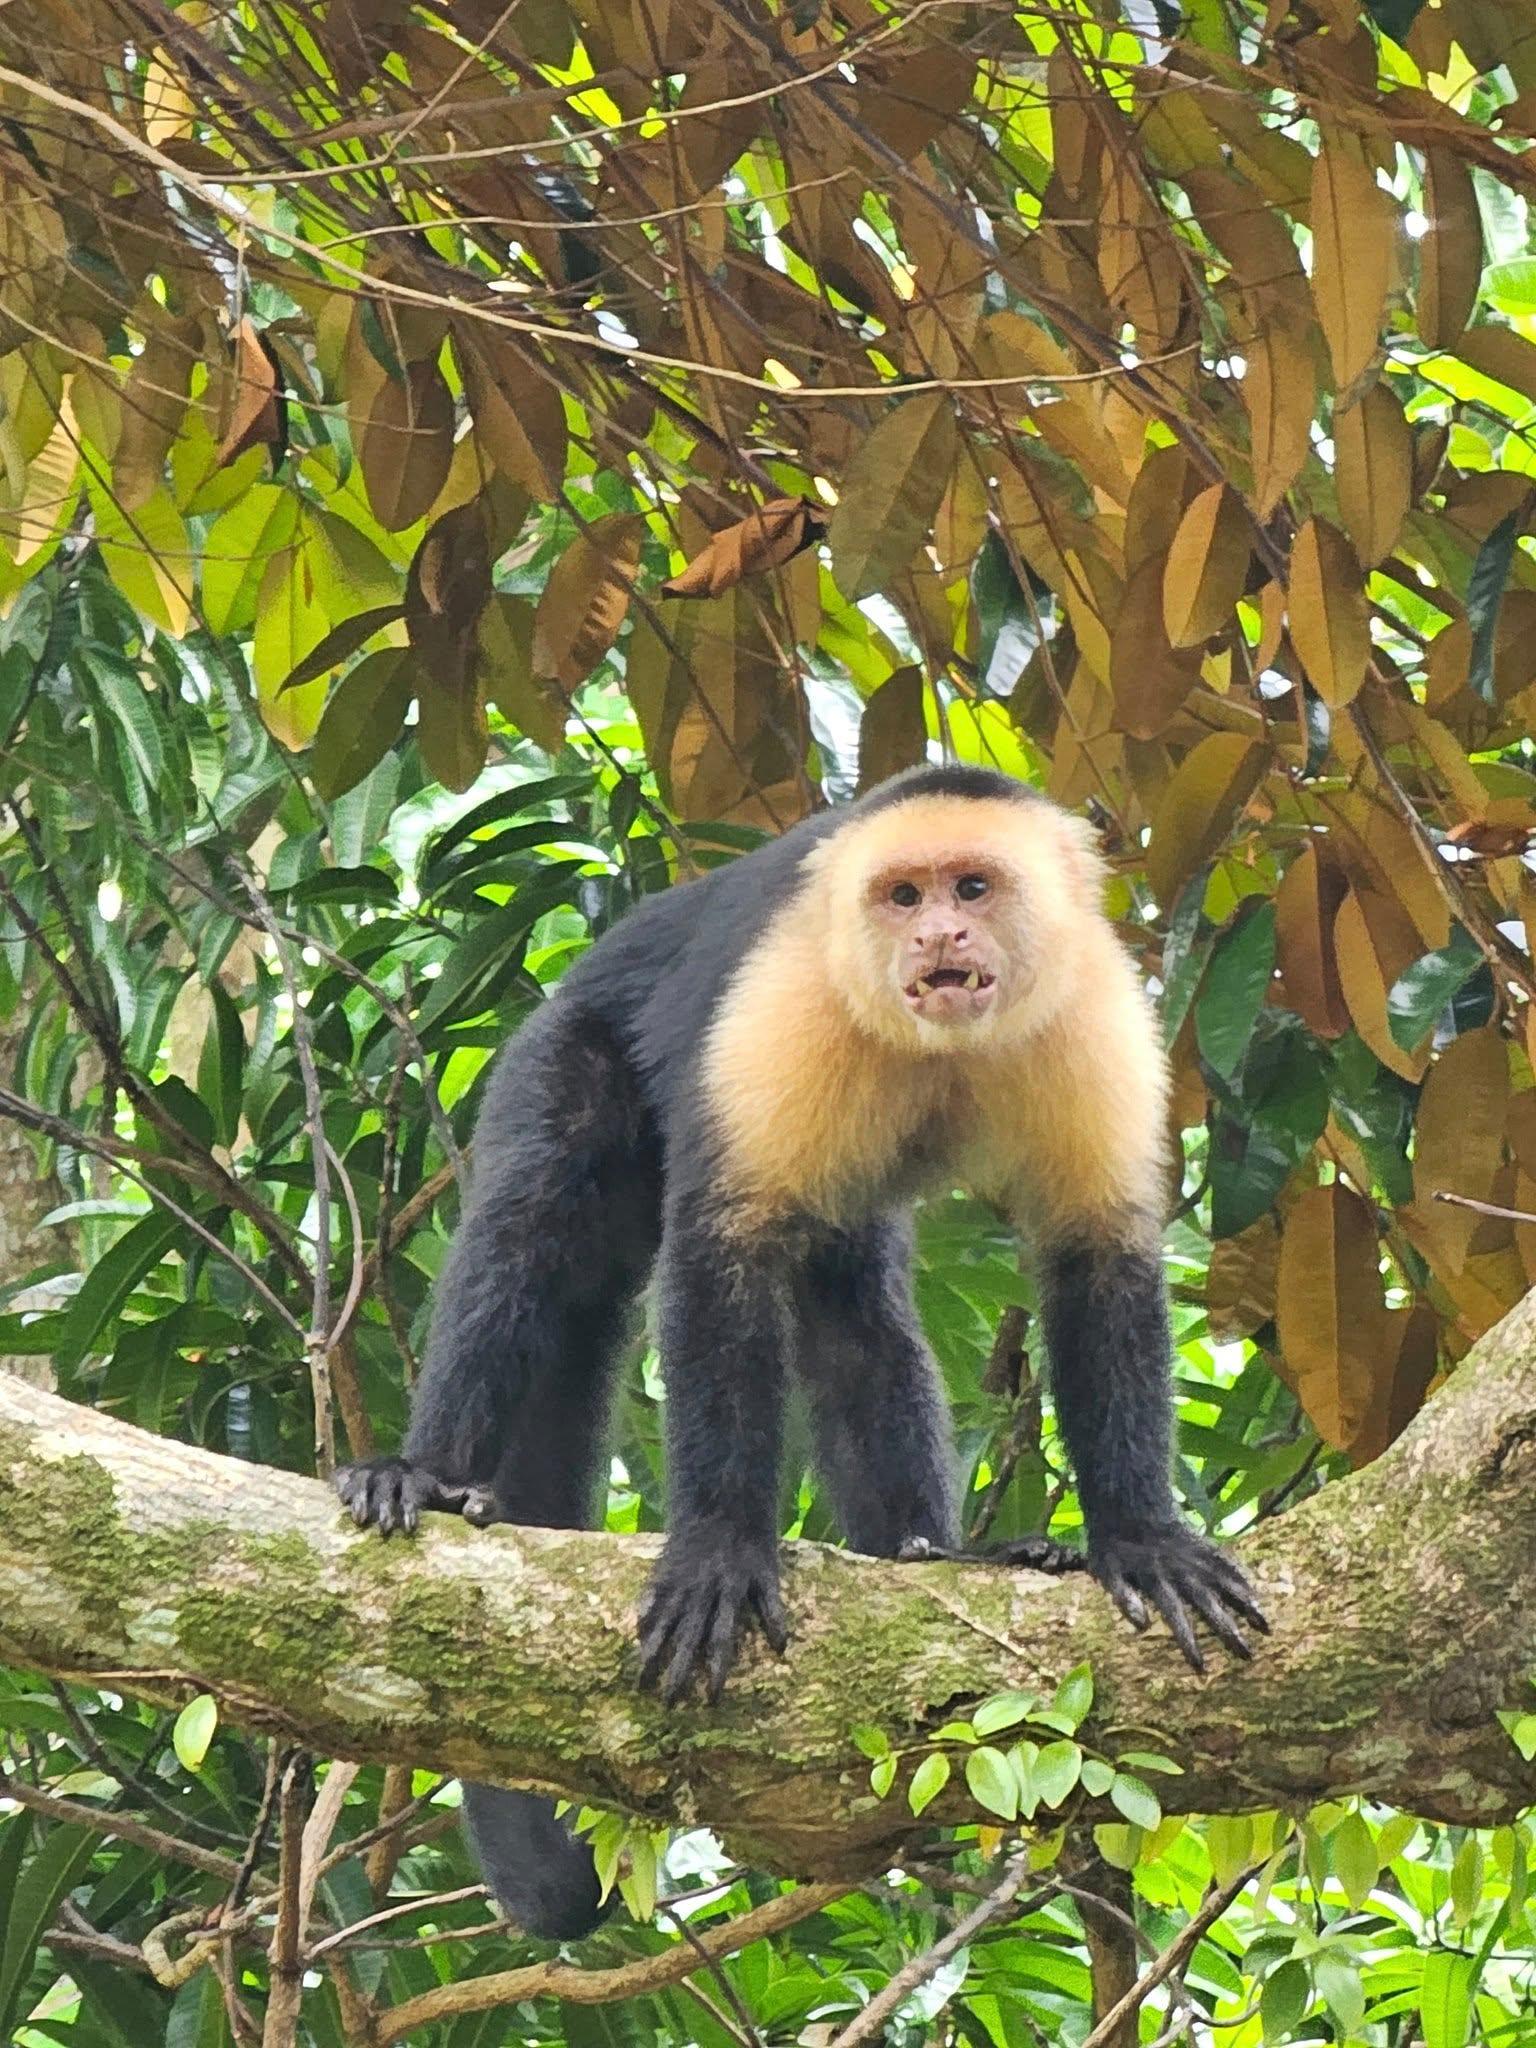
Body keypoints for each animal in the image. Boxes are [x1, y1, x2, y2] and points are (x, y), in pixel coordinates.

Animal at [336, 763, 1267, 1939]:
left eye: (973, 885)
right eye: (902, 896)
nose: (940, 935)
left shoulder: (1094, 1011)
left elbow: (1098, 1255)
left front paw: (1140, 1539)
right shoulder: (788, 996)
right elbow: (723, 1245)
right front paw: (722, 1551)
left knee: (851, 1307)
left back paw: (925, 1552)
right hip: (564, 1046)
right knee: (538, 1214)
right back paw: (425, 1469)